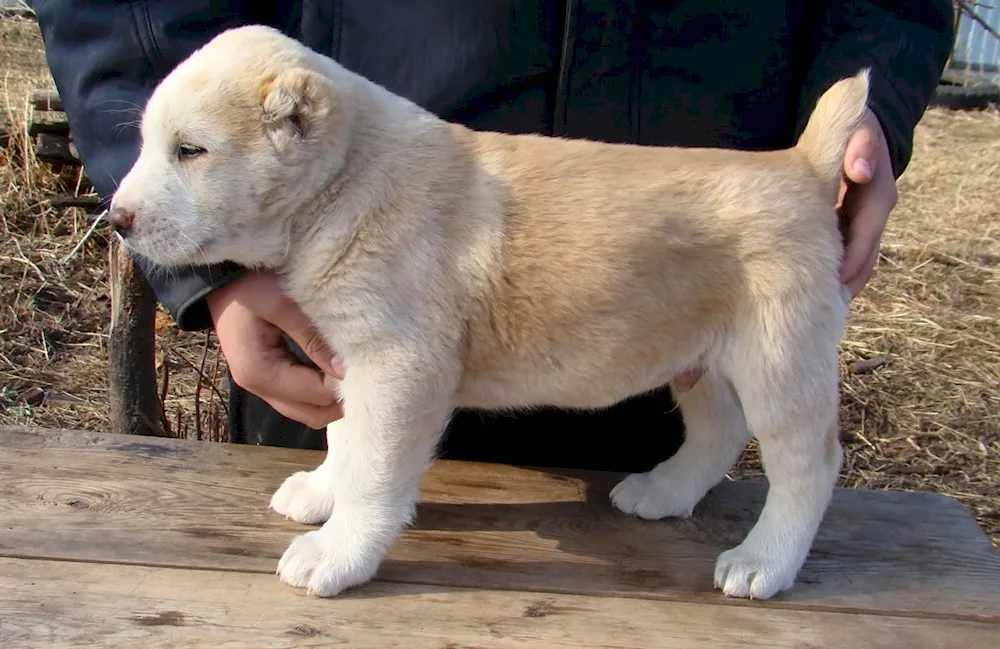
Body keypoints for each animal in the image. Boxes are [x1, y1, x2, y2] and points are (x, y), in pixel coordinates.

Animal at [111, 26, 868, 604]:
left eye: (191, 151)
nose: (115, 219)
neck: (349, 179)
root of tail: (802, 166)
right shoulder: (354, 360)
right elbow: (344, 438)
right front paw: (324, 491)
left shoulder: (398, 367)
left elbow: (373, 467)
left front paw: (338, 553)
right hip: (701, 356)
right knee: (718, 430)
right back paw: (664, 491)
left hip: (778, 359)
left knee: (809, 465)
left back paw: (764, 562)